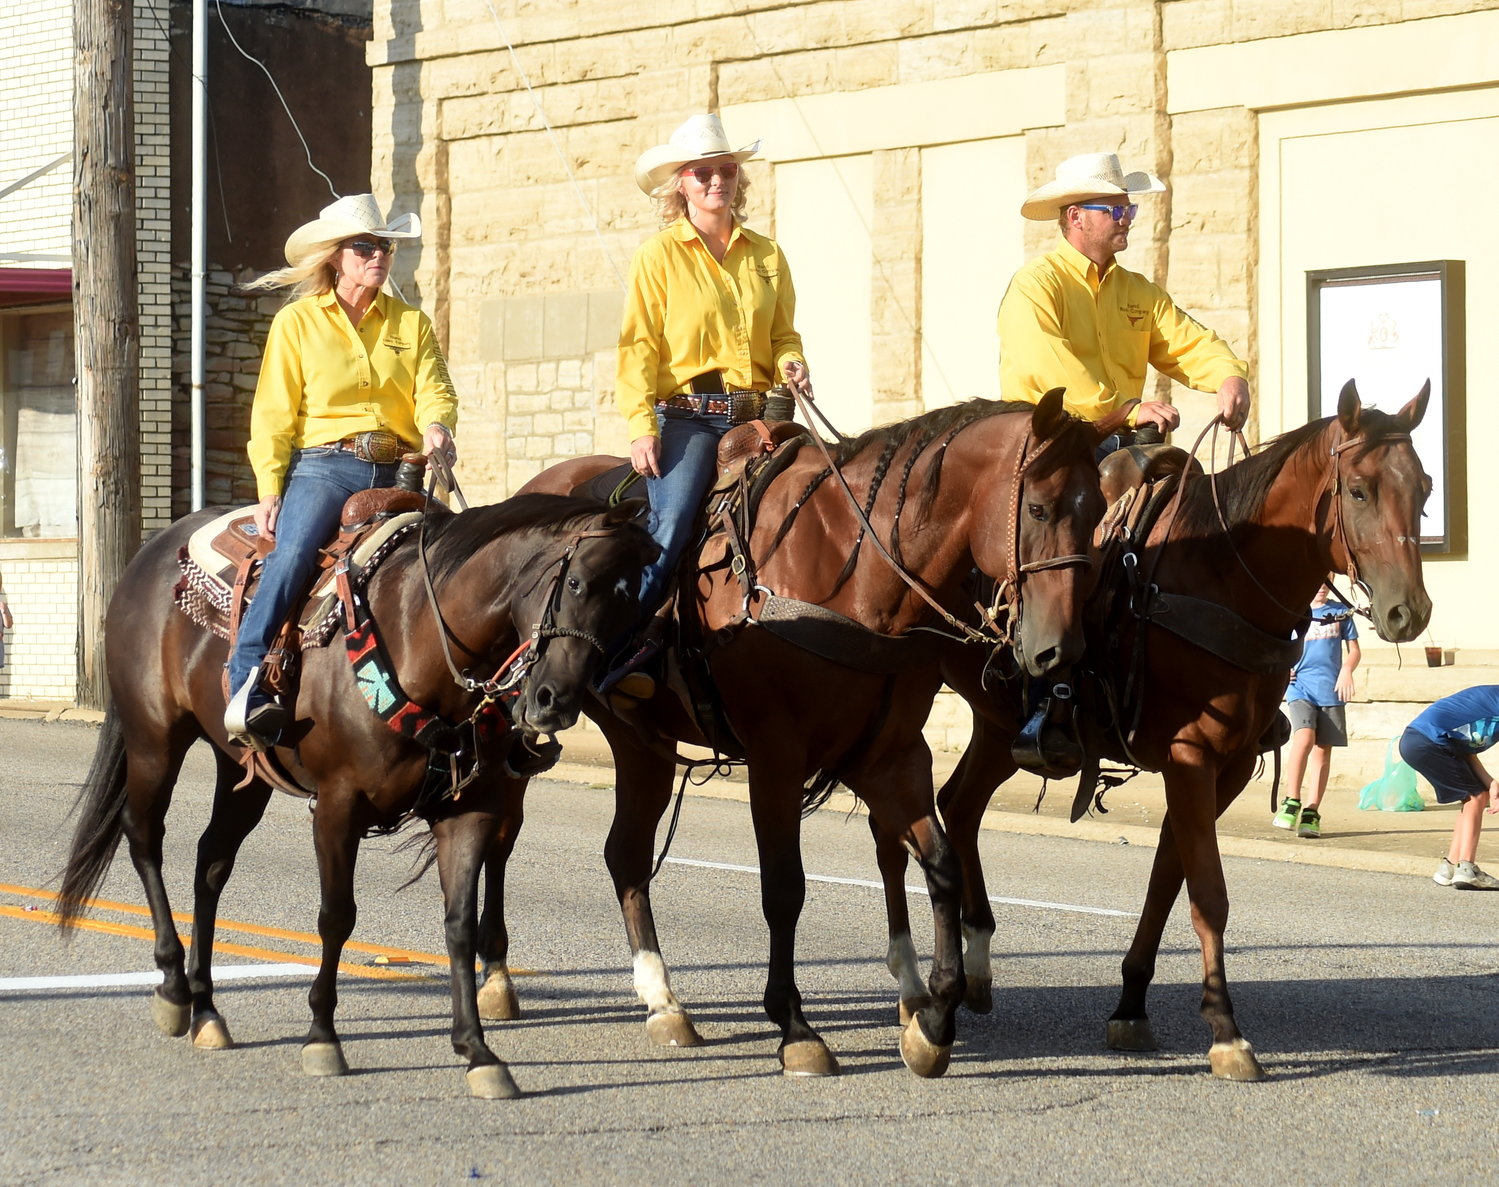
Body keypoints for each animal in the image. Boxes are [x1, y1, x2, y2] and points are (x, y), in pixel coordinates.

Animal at [55, 485, 653, 1097]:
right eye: (576, 582)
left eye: (636, 603)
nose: (556, 701)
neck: (420, 639)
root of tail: (149, 554)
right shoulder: (338, 806)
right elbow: (336, 916)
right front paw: (322, 1036)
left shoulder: (469, 811)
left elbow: (459, 924)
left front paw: (477, 1050)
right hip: (154, 739)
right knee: (144, 837)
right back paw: (175, 987)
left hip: (241, 769)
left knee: (211, 861)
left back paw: (207, 1010)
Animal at [497, 389, 1127, 1073]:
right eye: (1037, 507)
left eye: (1098, 512)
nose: (1059, 651)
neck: (852, 579)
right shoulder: (777, 759)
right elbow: (784, 888)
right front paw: (795, 1026)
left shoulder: (892, 757)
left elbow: (939, 865)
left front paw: (933, 1021)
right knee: (532, 838)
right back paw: (513, 981)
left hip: (645, 741)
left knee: (626, 854)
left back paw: (662, 1002)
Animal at [869, 377, 1427, 1073]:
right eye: (1358, 490)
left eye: (1425, 487)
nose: (1409, 612)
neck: (1221, 577)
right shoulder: (1192, 756)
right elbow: (1208, 894)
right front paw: (1226, 1031)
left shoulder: (1225, 767)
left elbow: (1169, 879)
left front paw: (1132, 1004)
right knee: (898, 825)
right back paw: (916, 992)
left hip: (999, 728)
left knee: (958, 806)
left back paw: (974, 966)